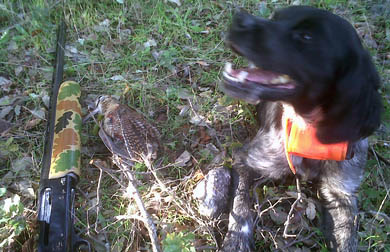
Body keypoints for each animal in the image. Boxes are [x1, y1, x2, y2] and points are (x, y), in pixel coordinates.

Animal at [219, 4, 384, 251]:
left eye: (306, 36)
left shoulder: (342, 193)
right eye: (275, 17)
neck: (310, 131)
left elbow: (348, 239)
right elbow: (241, 207)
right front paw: (236, 241)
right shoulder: (245, 160)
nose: (239, 19)